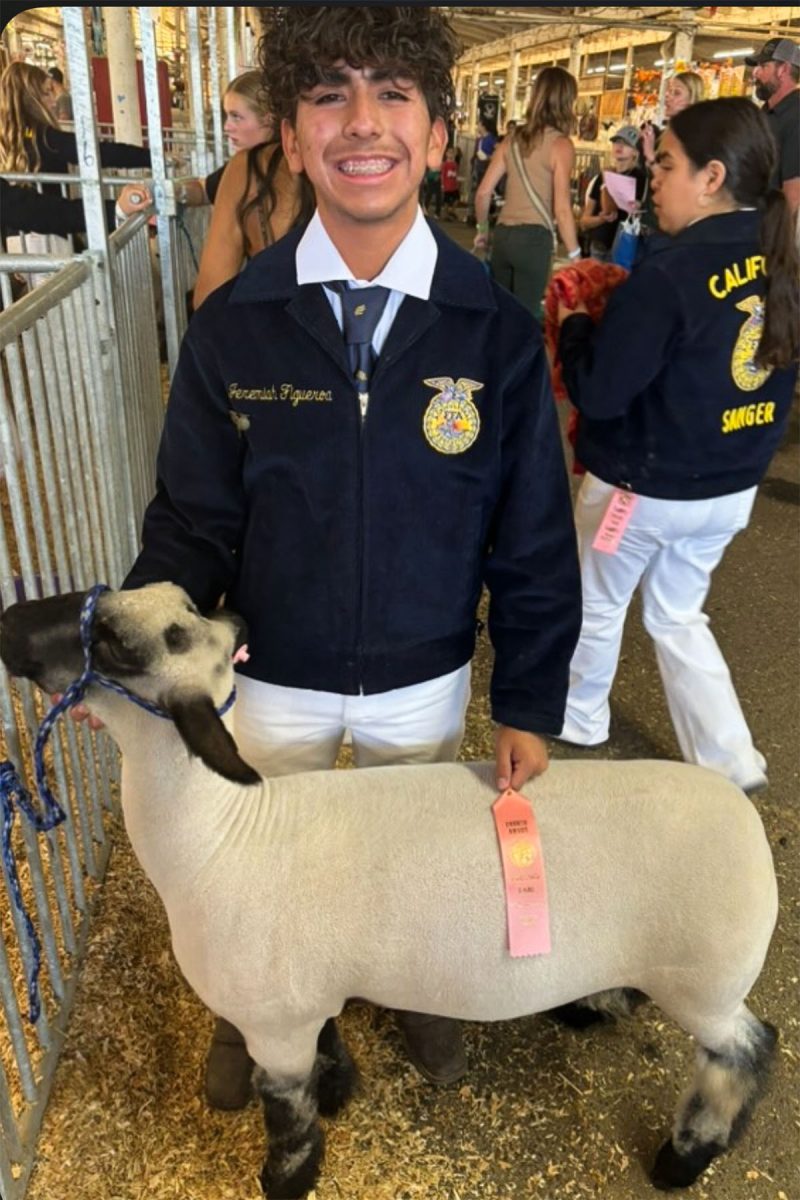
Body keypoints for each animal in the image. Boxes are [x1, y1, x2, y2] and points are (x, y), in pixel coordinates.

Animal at [0, 585, 777, 1200]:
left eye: (114, 646)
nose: (9, 621)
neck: (220, 832)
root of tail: (750, 831)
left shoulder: (273, 1023)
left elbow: (287, 1113)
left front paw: (287, 1180)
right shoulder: (307, 997)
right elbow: (329, 1048)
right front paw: (341, 1092)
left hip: (705, 981)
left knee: (745, 1053)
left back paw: (681, 1159)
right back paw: (591, 1008)